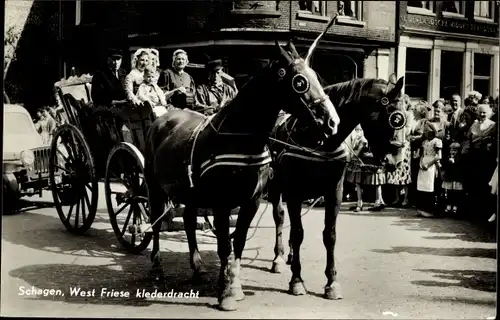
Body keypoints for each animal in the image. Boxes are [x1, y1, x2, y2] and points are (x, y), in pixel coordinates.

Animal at [143, 19, 342, 310]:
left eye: (317, 76)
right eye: (300, 81)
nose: (332, 122)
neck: (239, 138)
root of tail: (163, 117)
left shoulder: (251, 201)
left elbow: (236, 242)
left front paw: (232, 285)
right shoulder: (222, 201)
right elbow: (224, 244)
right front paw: (226, 293)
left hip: (190, 194)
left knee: (189, 222)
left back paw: (198, 267)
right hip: (154, 187)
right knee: (156, 223)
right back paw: (156, 267)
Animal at [266, 73, 406, 300]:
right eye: (395, 117)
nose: (397, 160)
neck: (319, 140)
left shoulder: (335, 192)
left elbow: (329, 236)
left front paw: (332, 282)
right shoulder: (294, 192)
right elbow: (298, 233)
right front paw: (297, 280)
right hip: (275, 186)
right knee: (279, 217)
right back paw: (278, 258)